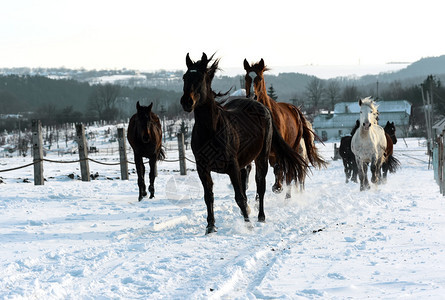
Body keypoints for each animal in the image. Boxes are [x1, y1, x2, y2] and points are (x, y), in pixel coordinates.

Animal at [180, 52, 308, 233]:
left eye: (200, 77)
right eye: (185, 77)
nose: (187, 102)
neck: (212, 130)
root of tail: (262, 107)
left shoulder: (232, 167)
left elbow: (239, 196)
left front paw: (248, 225)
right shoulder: (202, 168)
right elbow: (209, 196)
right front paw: (210, 226)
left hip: (262, 157)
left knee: (261, 185)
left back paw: (261, 216)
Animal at [243, 58, 326, 196]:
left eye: (259, 78)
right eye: (246, 77)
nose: (251, 97)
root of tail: (295, 110)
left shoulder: (280, 151)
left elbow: (280, 169)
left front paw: (278, 187)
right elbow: (258, 176)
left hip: (293, 147)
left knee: (290, 173)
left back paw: (286, 193)